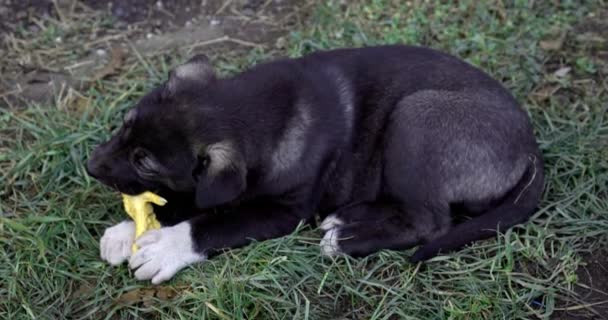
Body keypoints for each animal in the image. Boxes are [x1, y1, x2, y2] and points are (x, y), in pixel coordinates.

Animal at [86, 44, 548, 282]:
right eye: (125, 126)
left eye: (146, 163)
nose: (91, 165)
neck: (247, 110)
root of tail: (530, 145)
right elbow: (189, 199)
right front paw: (128, 231)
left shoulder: (284, 210)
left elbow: (214, 221)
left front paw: (166, 247)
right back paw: (349, 218)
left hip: (417, 117)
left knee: (429, 221)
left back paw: (345, 240)